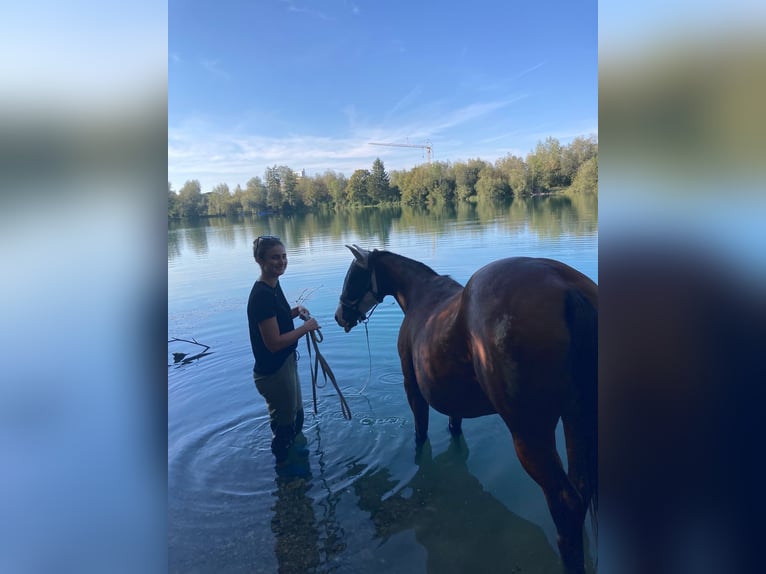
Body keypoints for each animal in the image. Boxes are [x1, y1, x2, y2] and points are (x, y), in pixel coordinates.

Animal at [336, 246, 600, 574]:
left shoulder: (413, 389)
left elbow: (421, 434)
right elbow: (454, 428)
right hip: (575, 417)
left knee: (566, 503)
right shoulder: (454, 401)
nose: (339, 315)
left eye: (352, 276)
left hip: (530, 434)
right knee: (581, 490)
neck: (420, 295)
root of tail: (566, 287)